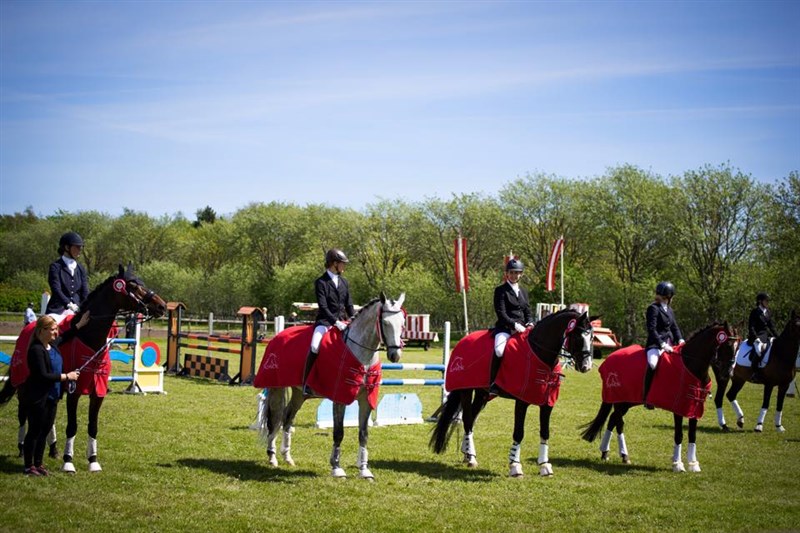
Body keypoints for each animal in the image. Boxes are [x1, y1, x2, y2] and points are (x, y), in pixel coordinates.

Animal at [256, 294, 406, 480]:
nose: (395, 355)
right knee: (274, 420)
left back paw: (288, 457)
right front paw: (336, 468)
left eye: (403, 323)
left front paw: (364, 470)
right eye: (385, 323)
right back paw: (272, 457)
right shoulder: (339, 398)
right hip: (276, 387)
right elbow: (338, 432)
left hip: (299, 394)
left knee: (287, 418)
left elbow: (363, 434)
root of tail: (278, 336)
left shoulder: (366, 400)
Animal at [432, 308, 592, 478]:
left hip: (483, 394)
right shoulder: (522, 401)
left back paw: (468, 454)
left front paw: (544, 466)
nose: (586, 366)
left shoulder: (547, 403)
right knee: (468, 420)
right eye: (577, 336)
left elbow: (545, 432)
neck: (539, 354)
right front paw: (515, 466)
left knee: (473, 418)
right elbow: (519, 432)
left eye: (591, 337)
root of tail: (464, 340)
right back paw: (471, 459)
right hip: (466, 391)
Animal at [580, 322, 736, 472]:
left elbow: (692, 435)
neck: (690, 364)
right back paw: (622, 455)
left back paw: (607, 453)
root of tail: (610, 358)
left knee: (612, 420)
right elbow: (679, 434)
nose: (727, 374)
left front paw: (693, 464)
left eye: (737, 346)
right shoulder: (678, 407)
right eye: (727, 345)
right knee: (619, 423)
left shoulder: (694, 407)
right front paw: (678, 465)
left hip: (626, 402)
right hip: (619, 400)